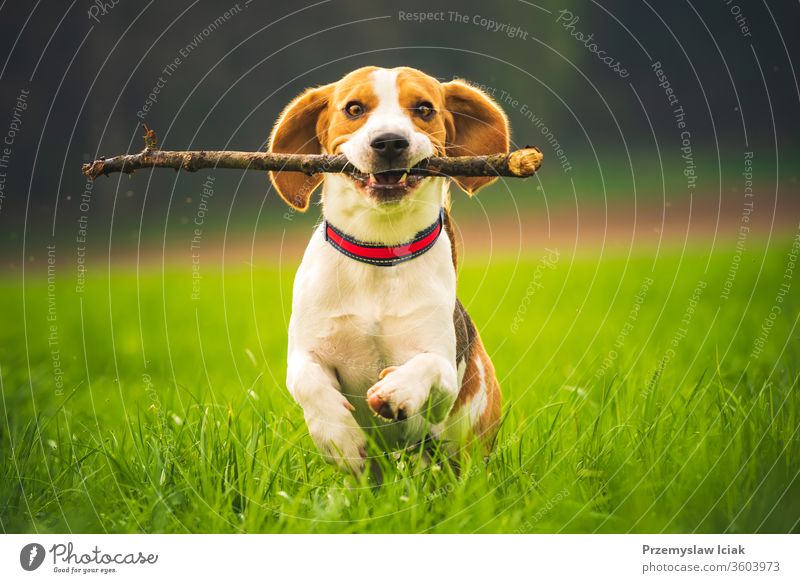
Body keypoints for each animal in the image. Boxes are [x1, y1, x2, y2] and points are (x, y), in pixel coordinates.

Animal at [268, 66, 506, 474]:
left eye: (424, 108)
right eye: (354, 108)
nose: (390, 142)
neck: (380, 251)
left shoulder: (442, 372)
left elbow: (429, 366)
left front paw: (396, 390)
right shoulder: (304, 353)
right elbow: (308, 381)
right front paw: (339, 437)